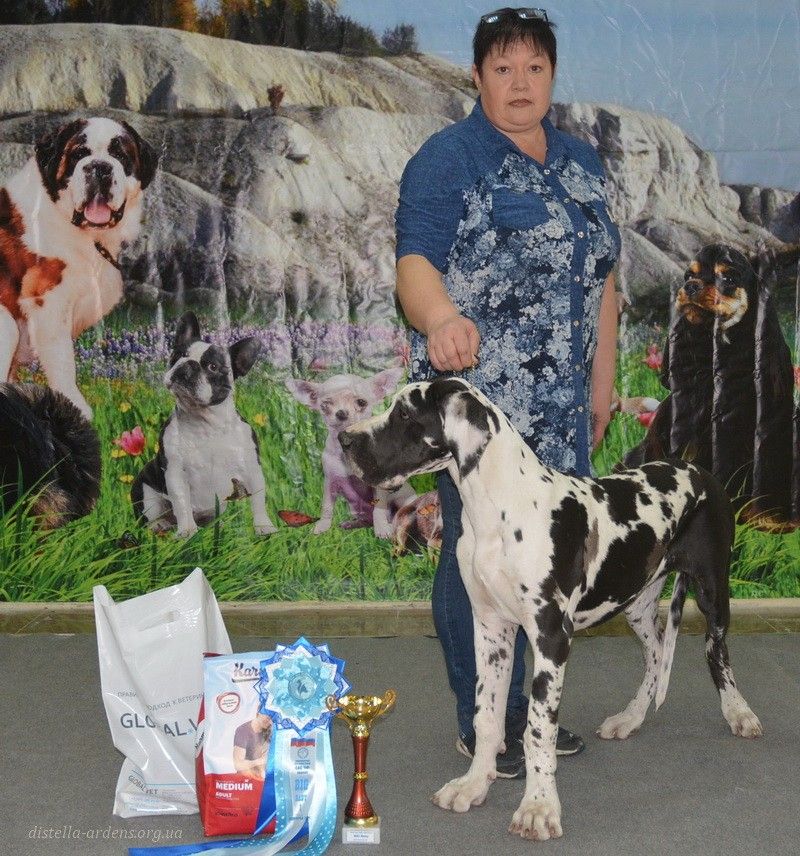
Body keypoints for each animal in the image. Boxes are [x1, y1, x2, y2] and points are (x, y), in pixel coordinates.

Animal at [0, 117, 157, 420]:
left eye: (120, 155)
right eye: (79, 154)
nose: (99, 167)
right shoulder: (48, 301)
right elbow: (63, 361)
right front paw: (76, 409)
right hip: (6, 325)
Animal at [131, 312, 278, 538]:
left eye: (213, 367)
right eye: (178, 355)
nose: (188, 364)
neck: (205, 423)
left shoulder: (252, 468)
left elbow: (258, 500)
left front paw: (263, 526)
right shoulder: (175, 473)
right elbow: (181, 503)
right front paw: (187, 531)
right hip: (146, 492)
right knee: (153, 515)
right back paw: (161, 525)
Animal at [285, 368, 415, 535]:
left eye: (361, 402)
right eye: (325, 405)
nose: (341, 413)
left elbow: (379, 509)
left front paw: (381, 529)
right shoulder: (330, 482)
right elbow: (327, 506)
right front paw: (323, 526)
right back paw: (353, 524)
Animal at [339, 376, 762, 841]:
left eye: (404, 414)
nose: (344, 439)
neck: (499, 509)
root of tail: (697, 468)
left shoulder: (551, 635)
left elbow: (538, 729)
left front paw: (538, 808)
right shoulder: (491, 630)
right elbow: (487, 715)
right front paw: (473, 784)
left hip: (712, 588)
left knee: (715, 651)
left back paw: (738, 711)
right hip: (635, 599)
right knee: (654, 653)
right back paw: (630, 718)